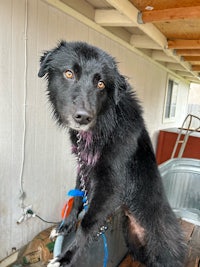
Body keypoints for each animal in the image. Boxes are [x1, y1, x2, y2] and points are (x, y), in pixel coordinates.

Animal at [38, 40, 186, 266]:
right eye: (69, 73)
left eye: (101, 84)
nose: (83, 117)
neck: (104, 124)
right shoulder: (84, 165)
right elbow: (77, 197)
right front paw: (65, 226)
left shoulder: (110, 183)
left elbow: (88, 222)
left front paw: (66, 257)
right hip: (133, 240)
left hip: (162, 247)